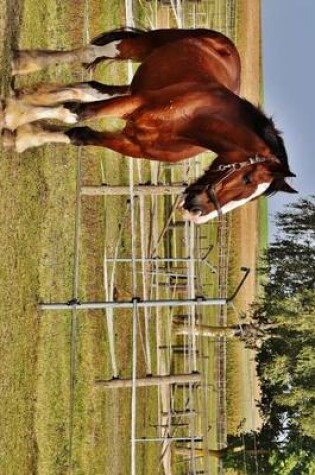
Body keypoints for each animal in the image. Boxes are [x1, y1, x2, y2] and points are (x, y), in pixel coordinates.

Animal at [0, 27, 296, 223]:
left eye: (254, 197)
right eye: (247, 179)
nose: (197, 214)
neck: (188, 121)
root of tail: (221, 41)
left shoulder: (130, 143)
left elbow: (78, 132)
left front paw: (21, 136)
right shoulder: (133, 103)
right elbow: (76, 114)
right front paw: (12, 117)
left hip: (131, 86)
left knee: (87, 89)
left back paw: (26, 85)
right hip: (133, 51)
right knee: (88, 54)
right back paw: (19, 62)